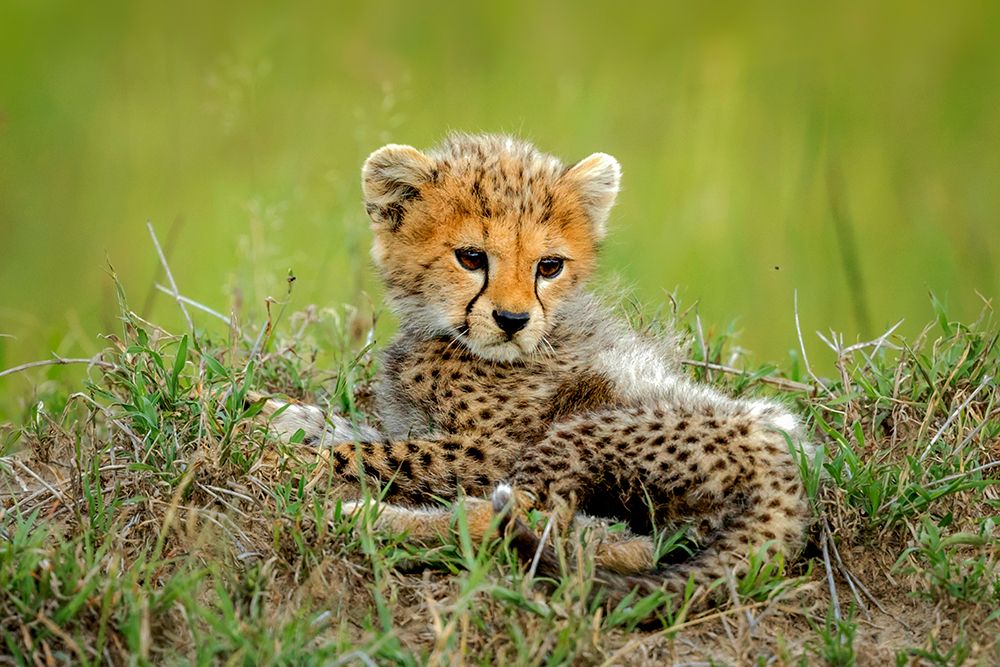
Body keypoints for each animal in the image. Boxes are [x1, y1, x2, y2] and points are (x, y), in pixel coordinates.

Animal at [260, 133, 812, 606]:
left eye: (549, 266)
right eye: (471, 257)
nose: (513, 320)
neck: (448, 337)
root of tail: (794, 478)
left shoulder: (491, 450)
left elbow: (375, 453)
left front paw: (283, 459)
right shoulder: (419, 424)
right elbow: (355, 431)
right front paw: (275, 414)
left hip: (586, 431)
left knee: (541, 523)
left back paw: (369, 518)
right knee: (611, 540)